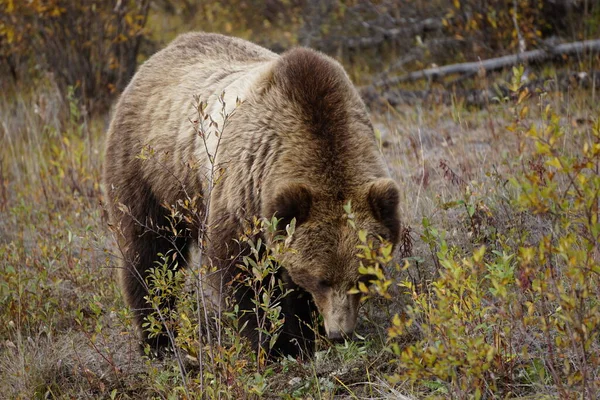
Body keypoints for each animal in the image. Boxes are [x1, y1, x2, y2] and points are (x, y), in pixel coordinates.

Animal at [104, 32, 398, 360]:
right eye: (322, 279)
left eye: (365, 277)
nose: (339, 333)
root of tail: (160, 54)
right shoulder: (244, 192)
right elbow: (242, 274)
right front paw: (275, 344)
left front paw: (304, 336)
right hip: (150, 171)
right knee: (150, 253)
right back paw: (158, 338)